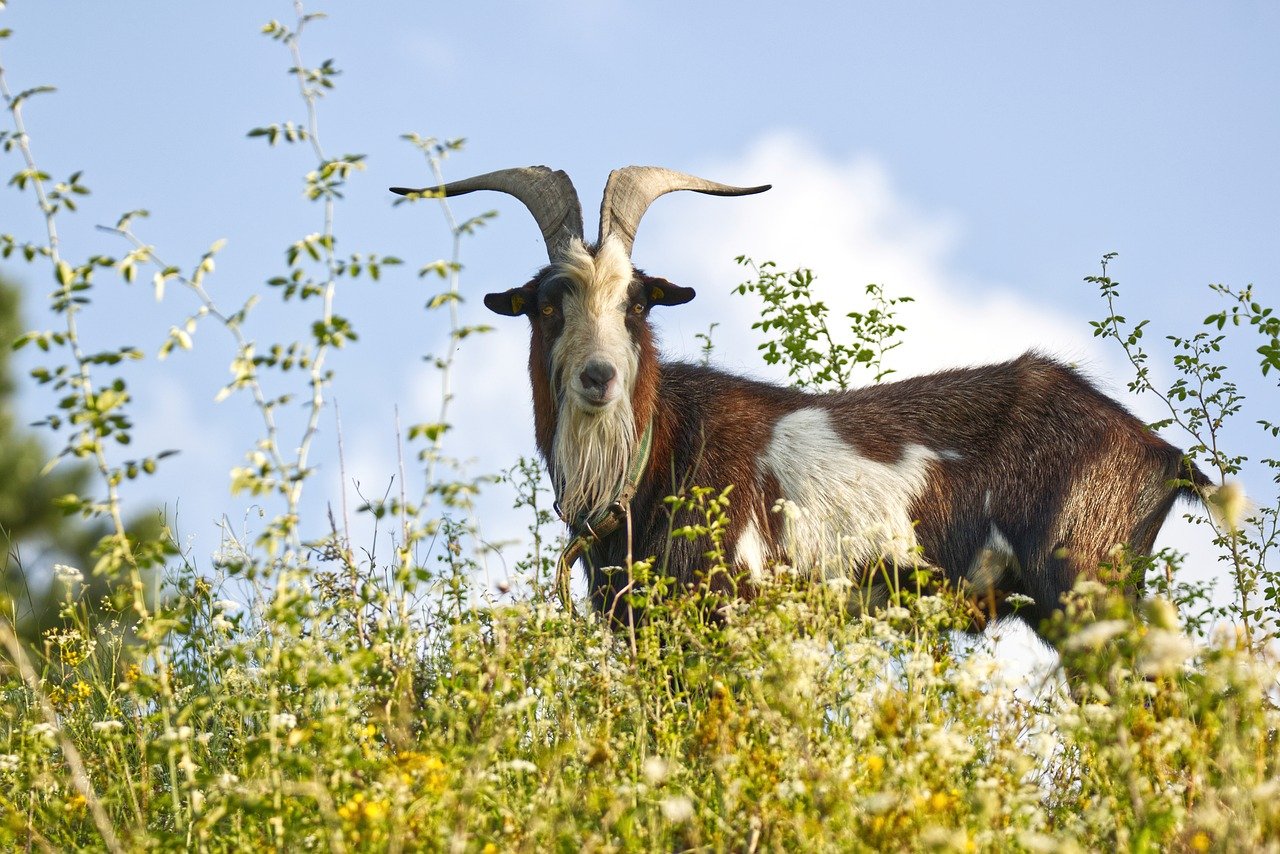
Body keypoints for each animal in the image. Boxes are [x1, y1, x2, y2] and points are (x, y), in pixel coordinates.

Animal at [394, 169, 1213, 635]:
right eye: (547, 304)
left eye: (636, 301)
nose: (599, 378)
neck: (658, 454)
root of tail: (1160, 453)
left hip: (1087, 588)